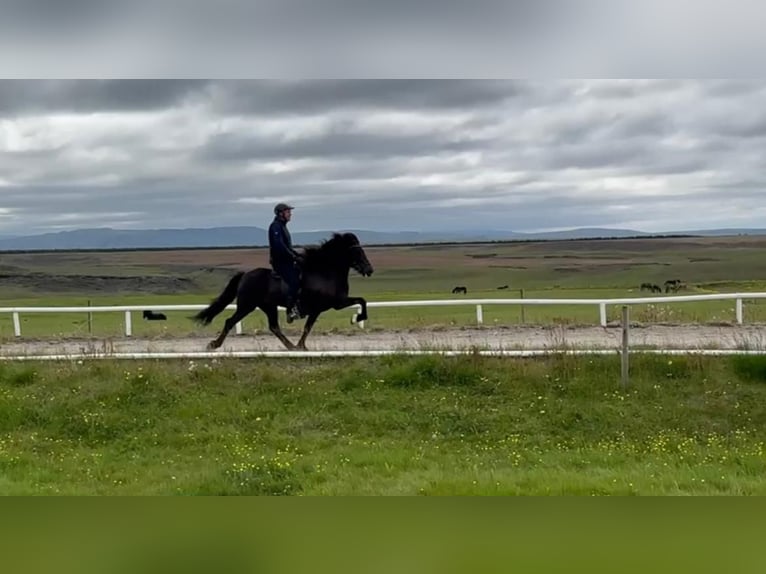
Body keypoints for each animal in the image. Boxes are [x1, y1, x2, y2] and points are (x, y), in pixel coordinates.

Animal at [190, 233, 374, 352]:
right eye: (357, 251)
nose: (369, 270)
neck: (325, 272)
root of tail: (245, 275)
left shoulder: (327, 306)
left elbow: (308, 327)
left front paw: (301, 346)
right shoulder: (333, 304)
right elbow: (361, 301)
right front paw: (357, 318)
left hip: (268, 307)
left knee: (274, 327)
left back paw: (290, 346)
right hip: (247, 305)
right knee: (230, 321)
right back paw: (214, 345)